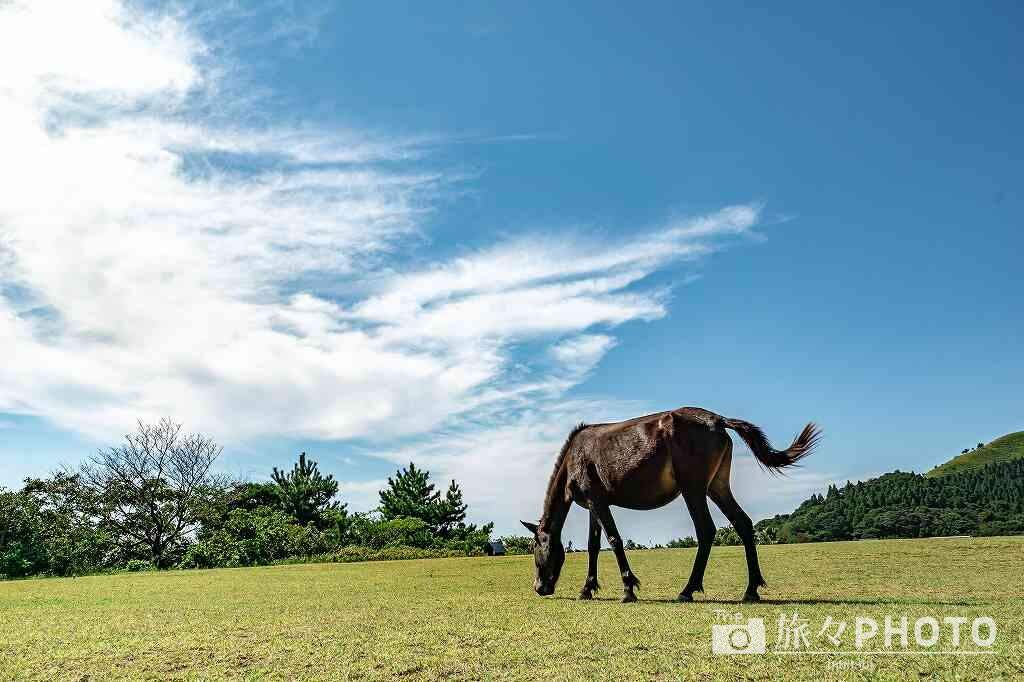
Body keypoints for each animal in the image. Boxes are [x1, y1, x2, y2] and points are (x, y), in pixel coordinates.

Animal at [524, 403, 819, 602]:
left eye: (536, 548)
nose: (539, 588)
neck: (574, 456)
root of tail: (717, 420)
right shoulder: (593, 506)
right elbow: (593, 545)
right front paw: (587, 588)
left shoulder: (597, 502)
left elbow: (614, 540)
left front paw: (628, 589)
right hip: (717, 486)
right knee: (743, 524)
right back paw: (751, 590)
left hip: (693, 488)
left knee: (706, 530)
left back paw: (688, 590)